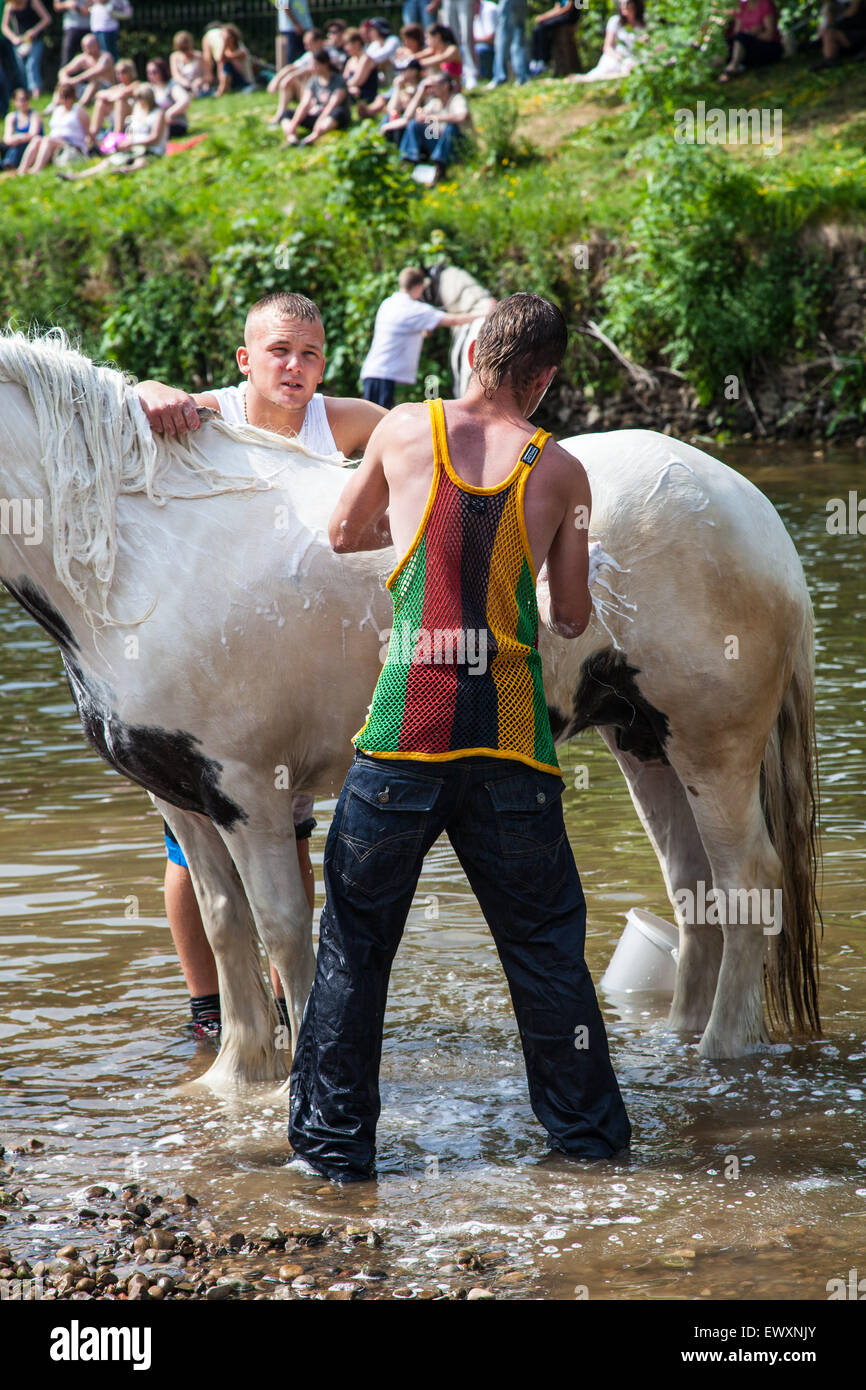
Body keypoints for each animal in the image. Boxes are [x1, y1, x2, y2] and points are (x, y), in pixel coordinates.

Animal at [0, 328, 822, 1084]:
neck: (145, 557)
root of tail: (755, 513)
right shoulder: (178, 794)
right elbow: (226, 927)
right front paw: (235, 1079)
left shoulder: (248, 790)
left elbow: (285, 929)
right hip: (643, 742)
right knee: (693, 890)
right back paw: (677, 1049)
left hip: (712, 747)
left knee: (747, 882)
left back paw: (721, 1052)